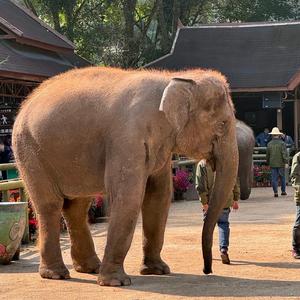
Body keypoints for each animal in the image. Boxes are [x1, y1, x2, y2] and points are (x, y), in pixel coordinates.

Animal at [11, 65, 238, 286]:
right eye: (223, 124)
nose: (207, 270)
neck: (172, 78)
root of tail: (25, 104)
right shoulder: (127, 138)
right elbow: (128, 197)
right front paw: (116, 282)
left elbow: (159, 196)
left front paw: (158, 270)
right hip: (30, 151)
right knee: (50, 205)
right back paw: (56, 275)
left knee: (77, 207)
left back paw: (90, 268)